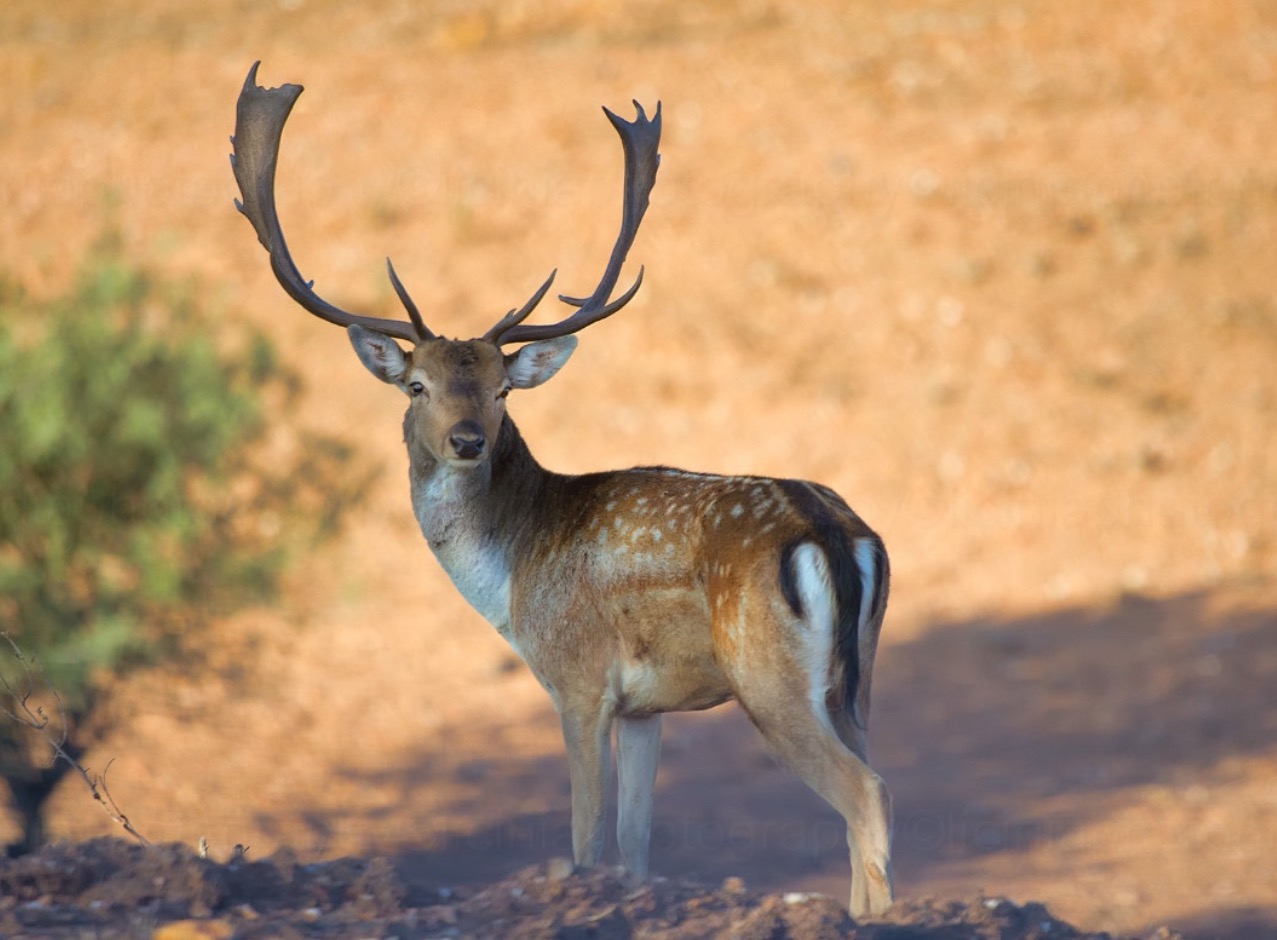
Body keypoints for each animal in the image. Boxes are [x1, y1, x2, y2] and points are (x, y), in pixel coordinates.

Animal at [230, 62, 894, 918]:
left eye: (502, 390)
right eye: (416, 385)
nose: (467, 440)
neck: (510, 580)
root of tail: (833, 531)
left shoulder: (576, 680)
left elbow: (586, 841)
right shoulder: (648, 709)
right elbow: (636, 848)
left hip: (768, 679)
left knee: (865, 794)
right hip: (857, 682)